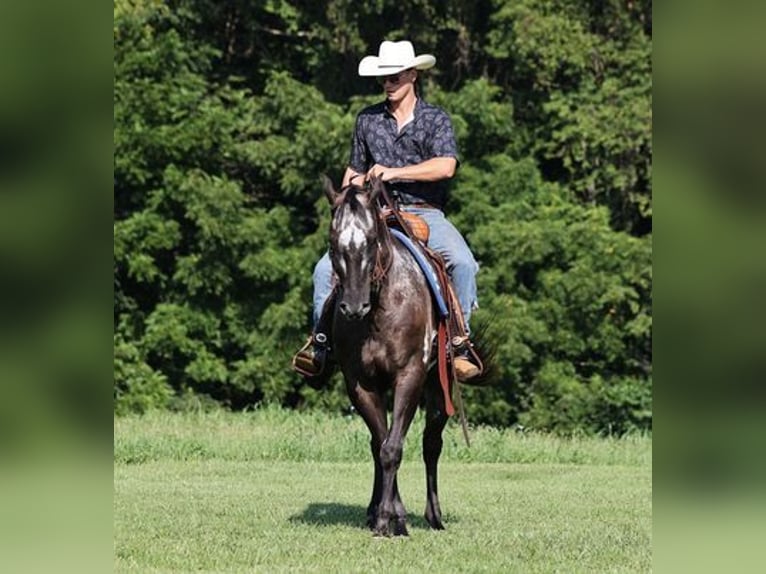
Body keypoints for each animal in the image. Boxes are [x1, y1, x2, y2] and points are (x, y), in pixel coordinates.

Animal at [324, 177, 468, 540]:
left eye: (372, 240)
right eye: (333, 244)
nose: (353, 307)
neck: (379, 310)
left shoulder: (410, 376)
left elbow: (393, 448)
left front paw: (389, 519)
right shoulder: (360, 384)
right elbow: (382, 445)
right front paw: (388, 516)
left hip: (436, 386)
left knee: (431, 445)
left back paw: (434, 516)